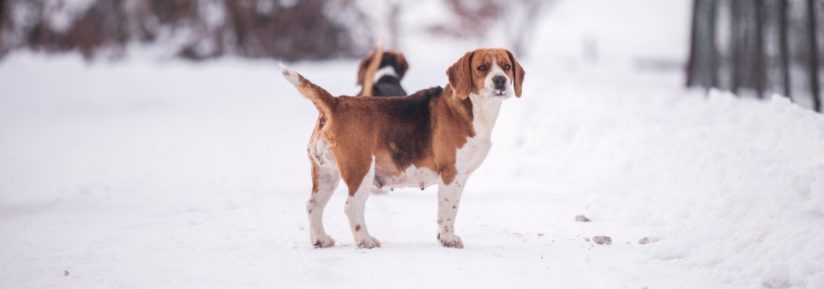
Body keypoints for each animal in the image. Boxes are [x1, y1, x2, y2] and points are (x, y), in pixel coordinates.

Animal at [282, 47, 528, 248]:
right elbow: (449, 211)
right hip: (361, 171)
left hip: (326, 173)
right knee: (351, 207)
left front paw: (442, 237)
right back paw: (365, 240)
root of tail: (335, 103)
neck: (474, 106)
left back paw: (320, 239)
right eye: (481, 68)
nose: (500, 80)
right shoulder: (451, 175)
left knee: (313, 205)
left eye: (506, 67)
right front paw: (448, 239)